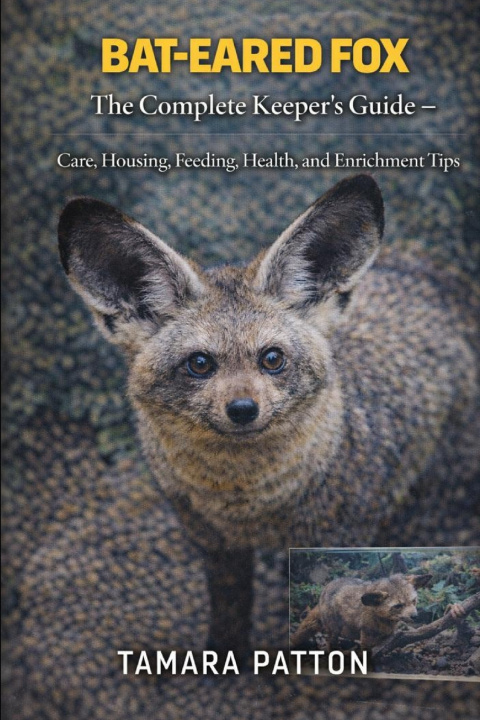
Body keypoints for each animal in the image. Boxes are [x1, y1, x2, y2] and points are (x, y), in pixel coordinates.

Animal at [289, 573, 432, 651]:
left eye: (413, 601)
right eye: (398, 606)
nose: (415, 616)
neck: (383, 622)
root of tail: (325, 589)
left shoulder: (388, 636)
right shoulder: (366, 636)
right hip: (334, 629)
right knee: (331, 643)